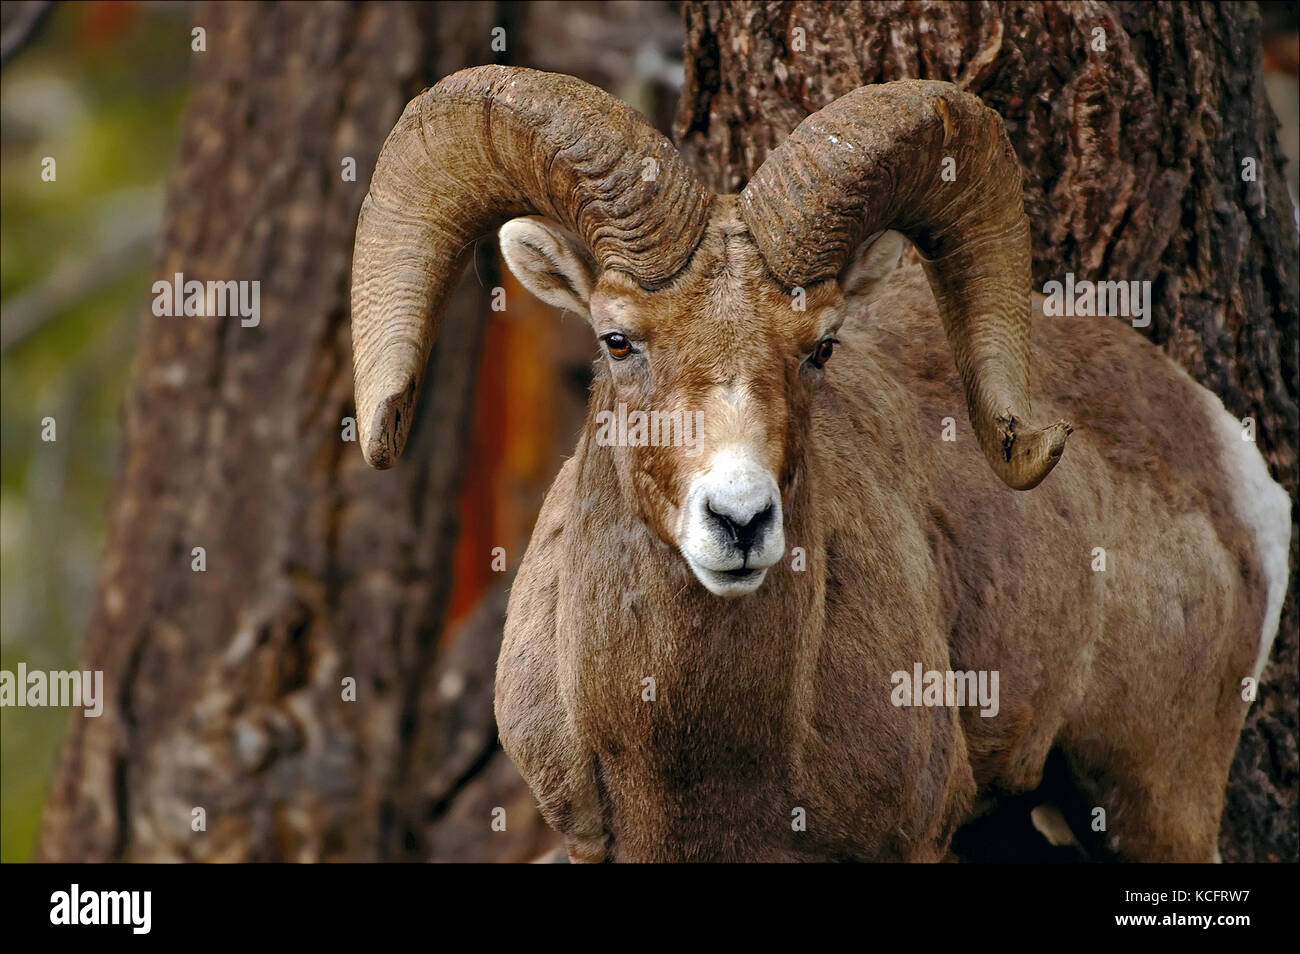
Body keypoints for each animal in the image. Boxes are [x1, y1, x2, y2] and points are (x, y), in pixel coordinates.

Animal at [351, 63, 1294, 863]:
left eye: (821, 348)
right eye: (618, 341)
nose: (739, 521)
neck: (689, 761)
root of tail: (1239, 466)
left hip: (1155, 803)